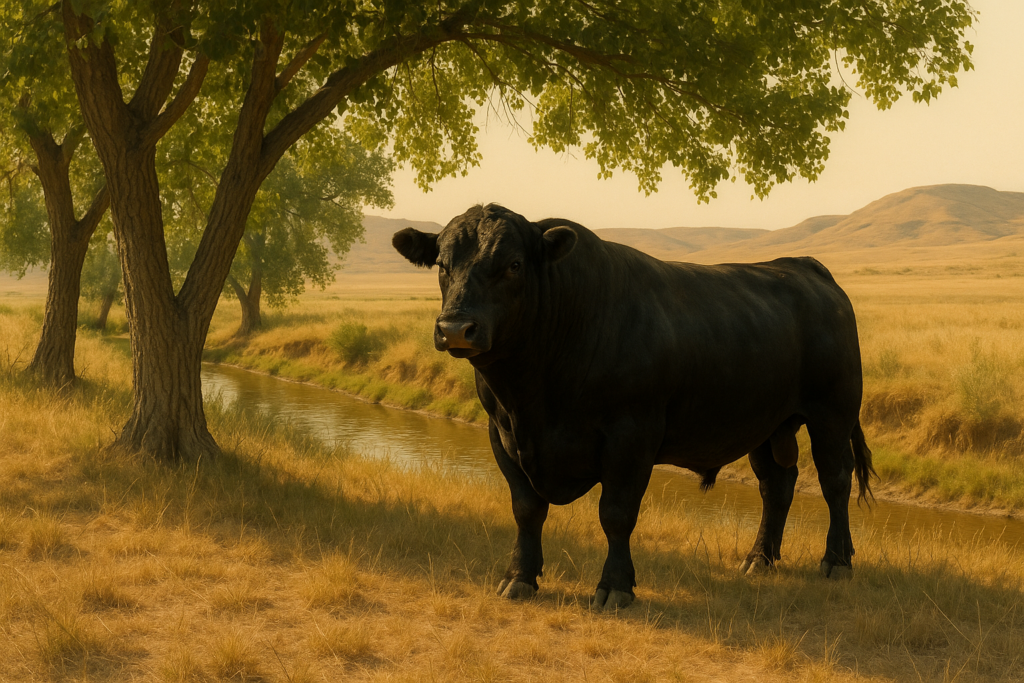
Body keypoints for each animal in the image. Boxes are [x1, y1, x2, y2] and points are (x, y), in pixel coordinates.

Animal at [393, 203, 875, 610]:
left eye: (513, 265)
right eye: (442, 265)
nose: (456, 328)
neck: (534, 395)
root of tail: (803, 267)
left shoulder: (631, 435)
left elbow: (616, 514)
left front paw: (615, 587)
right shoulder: (503, 433)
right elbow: (527, 509)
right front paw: (519, 578)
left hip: (832, 413)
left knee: (835, 479)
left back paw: (836, 560)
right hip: (767, 423)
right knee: (777, 485)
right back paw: (759, 558)